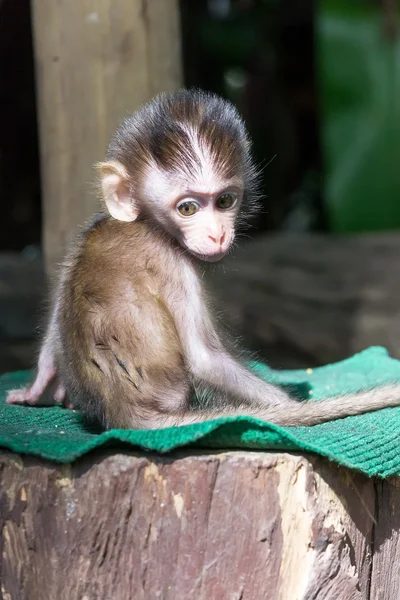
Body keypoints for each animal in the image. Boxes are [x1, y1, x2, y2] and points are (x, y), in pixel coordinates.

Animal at [7, 88, 400, 426]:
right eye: (188, 208)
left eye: (224, 201)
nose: (217, 234)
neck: (148, 224)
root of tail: (123, 409)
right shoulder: (173, 264)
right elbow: (204, 359)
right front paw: (290, 405)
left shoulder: (91, 228)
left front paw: (40, 384)